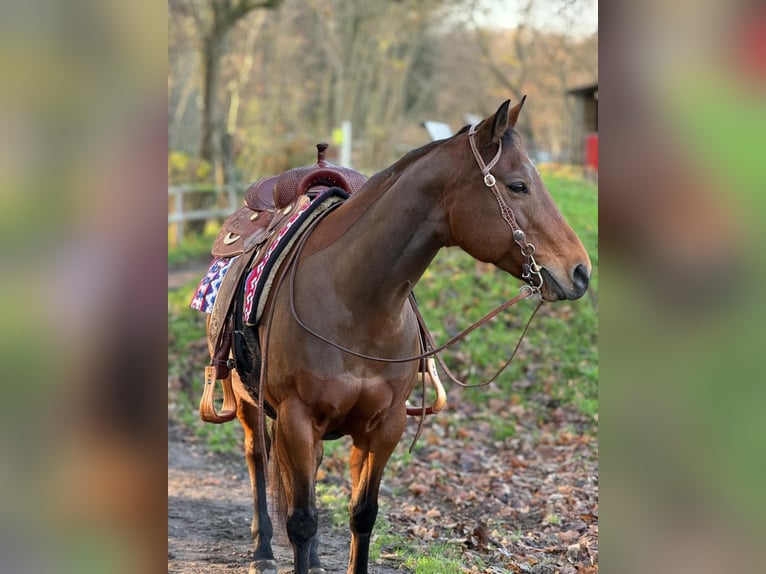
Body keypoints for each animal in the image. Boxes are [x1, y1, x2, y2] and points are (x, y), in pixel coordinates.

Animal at [225, 98, 591, 574]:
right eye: (518, 186)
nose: (581, 271)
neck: (354, 299)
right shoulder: (296, 418)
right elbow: (301, 519)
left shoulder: (385, 426)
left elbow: (362, 515)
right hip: (250, 404)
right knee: (257, 459)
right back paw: (263, 552)